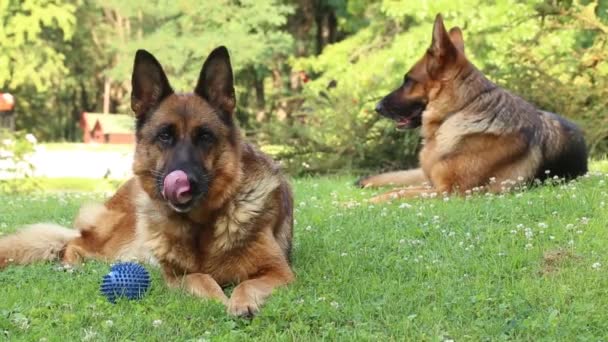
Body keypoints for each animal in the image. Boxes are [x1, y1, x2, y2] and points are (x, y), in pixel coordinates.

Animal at [0, 46, 294, 316]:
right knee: (74, 244)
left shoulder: (280, 271)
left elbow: (247, 284)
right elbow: (202, 279)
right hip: (114, 242)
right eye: (164, 136)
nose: (184, 183)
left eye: (205, 136)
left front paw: (241, 302)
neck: (201, 225)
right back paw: (71, 265)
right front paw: (219, 298)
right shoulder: (176, 277)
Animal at [358, 14, 588, 203]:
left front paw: (355, 205)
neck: (457, 112)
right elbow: (395, 190)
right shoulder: (434, 185)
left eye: (408, 81)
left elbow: (395, 193)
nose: (376, 107)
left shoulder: (448, 191)